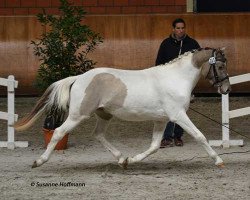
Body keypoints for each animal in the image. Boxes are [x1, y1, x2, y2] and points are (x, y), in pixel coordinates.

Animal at [15, 47, 230, 168]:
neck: (176, 78)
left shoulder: (161, 119)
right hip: (78, 115)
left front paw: (131, 161)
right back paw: (38, 161)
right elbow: (199, 135)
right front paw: (218, 161)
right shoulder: (178, 116)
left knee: (98, 134)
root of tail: (79, 78)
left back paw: (120, 158)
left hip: (104, 115)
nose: (226, 89)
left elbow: (154, 146)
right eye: (220, 67)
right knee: (58, 132)